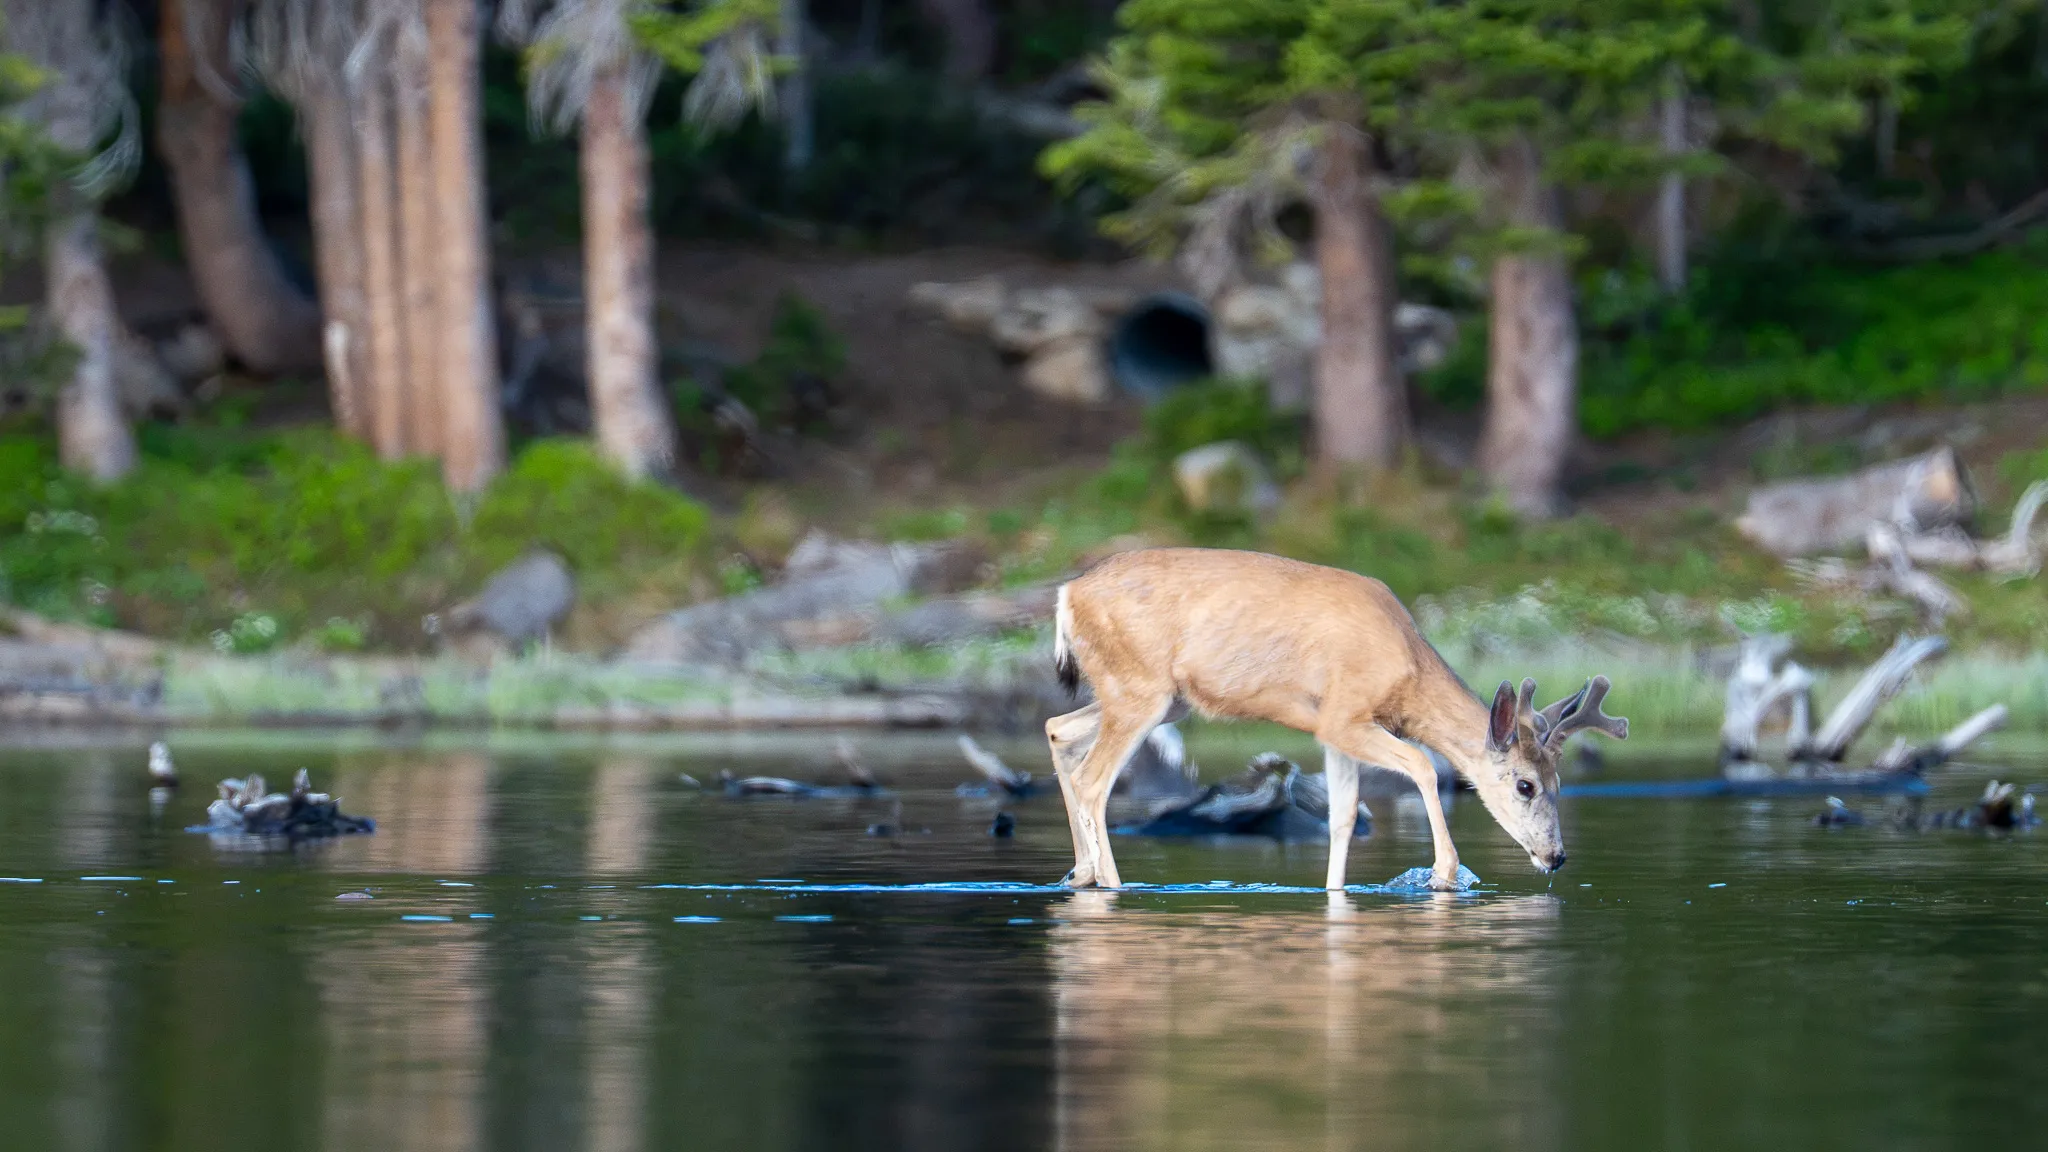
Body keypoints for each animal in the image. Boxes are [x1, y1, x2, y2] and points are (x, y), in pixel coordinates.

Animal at [1044, 548, 1628, 891]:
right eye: (1526, 785)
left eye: (1560, 782)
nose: (1556, 857)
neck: (1406, 670)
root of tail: (1066, 595)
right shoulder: (1344, 715)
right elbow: (1422, 764)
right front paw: (1444, 874)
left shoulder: (1332, 729)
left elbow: (1344, 814)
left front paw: (1335, 892)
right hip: (1139, 689)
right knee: (1093, 779)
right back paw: (1112, 883)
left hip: (1157, 697)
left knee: (1057, 729)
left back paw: (1081, 873)